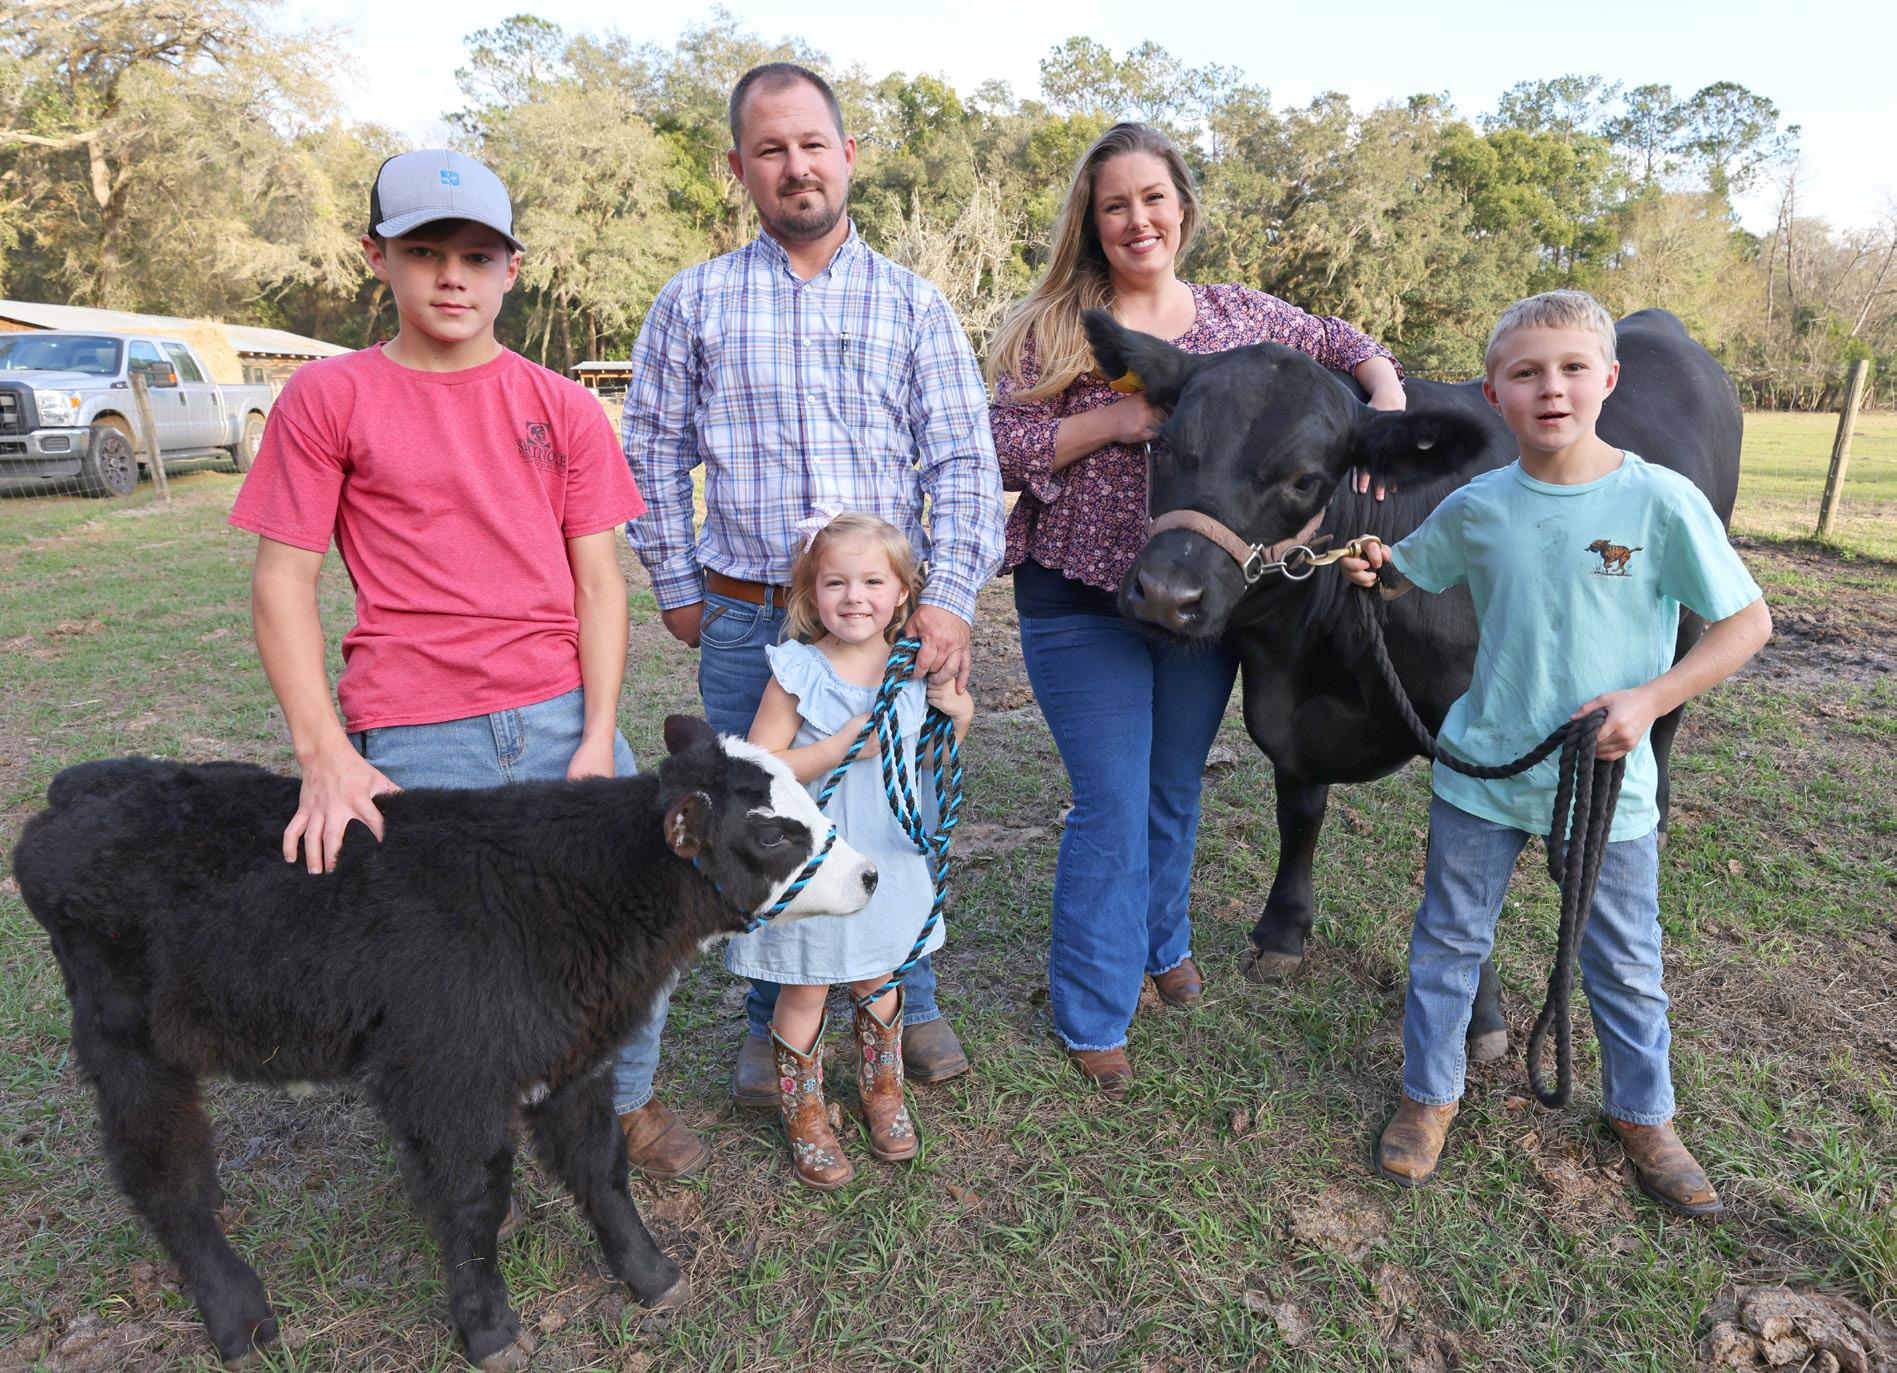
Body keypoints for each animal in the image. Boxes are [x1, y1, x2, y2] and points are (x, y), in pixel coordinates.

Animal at [1092, 305, 1737, 1054]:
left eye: (1306, 479)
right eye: (1165, 444)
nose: (1168, 594)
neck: (1304, 652)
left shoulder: (1468, 721)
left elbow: (1458, 858)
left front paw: (1479, 1014)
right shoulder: (1287, 714)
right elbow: (1300, 813)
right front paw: (1282, 932)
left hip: (1690, 611)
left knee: (1666, 714)